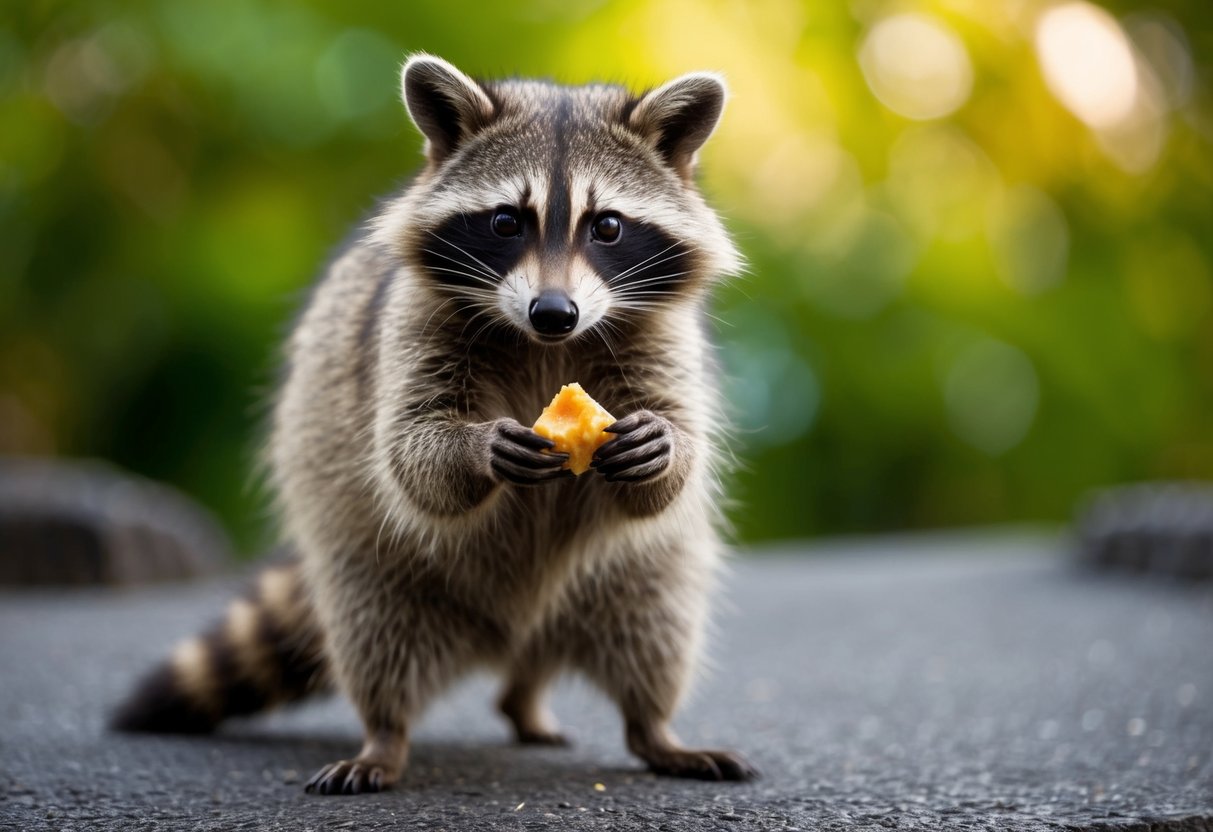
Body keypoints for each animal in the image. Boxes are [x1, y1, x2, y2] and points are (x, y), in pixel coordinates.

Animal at [112, 54, 755, 793]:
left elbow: (670, 466)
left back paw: (643, 727)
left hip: (635, 575)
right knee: (377, 639)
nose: (553, 312)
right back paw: (386, 737)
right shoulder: (411, 326)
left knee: (654, 629)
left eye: (608, 227)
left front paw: (666, 446)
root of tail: (512, 633)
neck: (543, 344)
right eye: (506, 222)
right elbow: (409, 452)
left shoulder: (660, 336)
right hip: (377, 563)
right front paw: (475, 449)